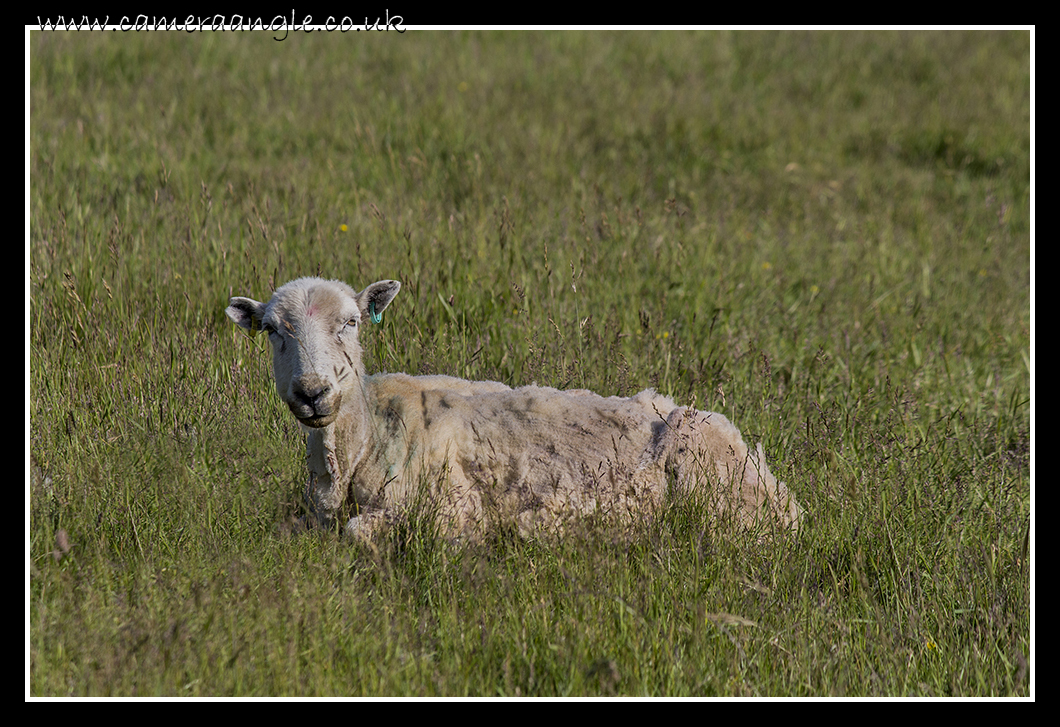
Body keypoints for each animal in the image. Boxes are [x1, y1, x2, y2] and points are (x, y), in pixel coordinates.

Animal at [225, 277, 801, 540]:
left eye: (351, 322)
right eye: (271, 330)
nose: (312, 392)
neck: (361, 444)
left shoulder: (452, 514)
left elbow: (358, 533)